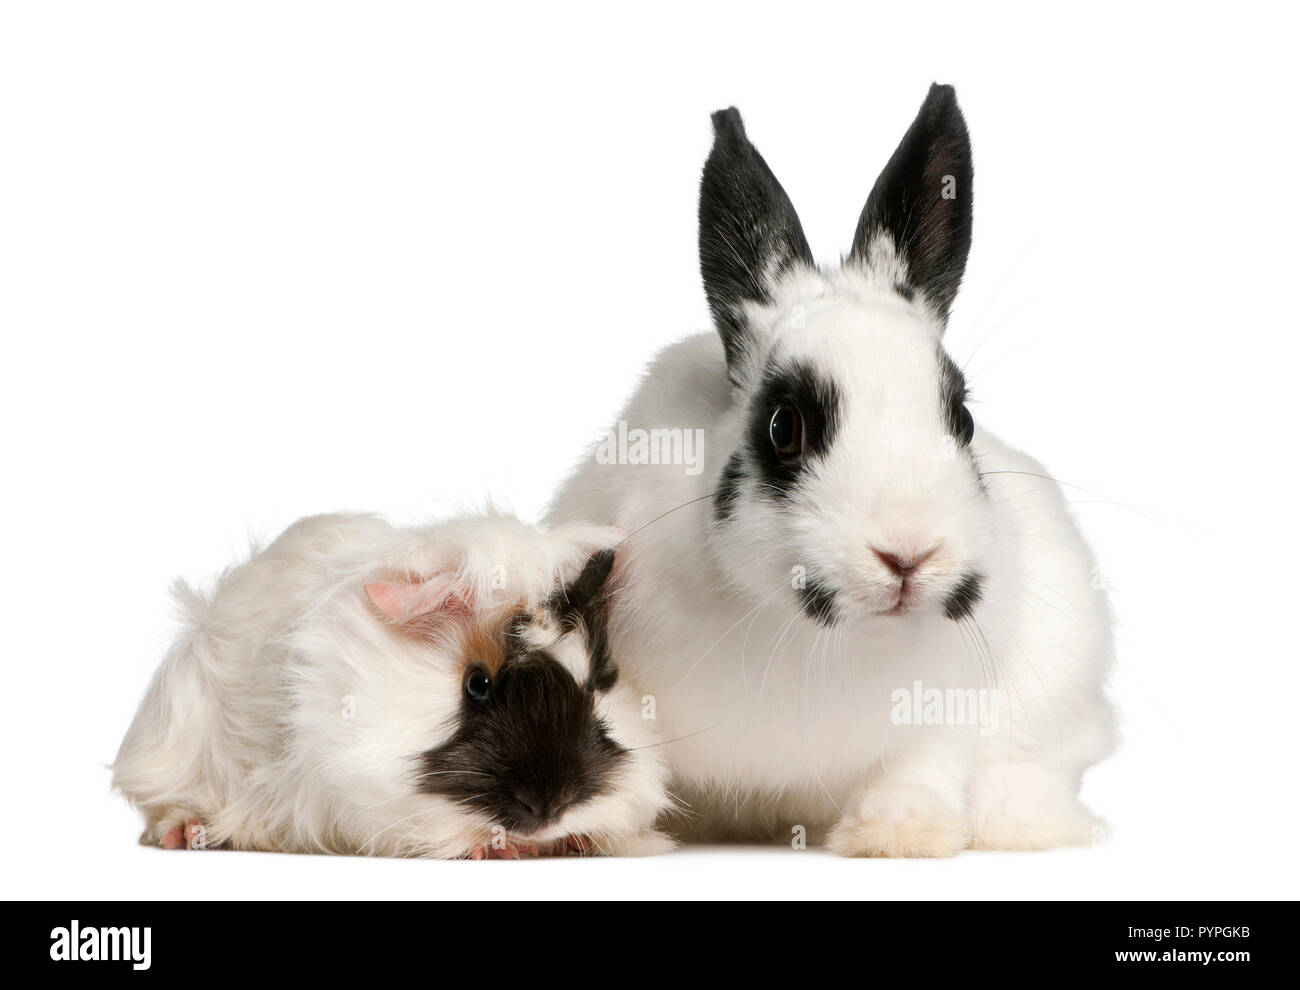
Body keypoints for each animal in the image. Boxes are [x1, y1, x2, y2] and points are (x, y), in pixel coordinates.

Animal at [110, 509, 670, 857]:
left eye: (595, 682)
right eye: (478, 684)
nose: (550, 808)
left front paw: (574, 841)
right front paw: (493, 848)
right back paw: (188, 834)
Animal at [548, 85, 1118, 852]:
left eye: (961, 420)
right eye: (784, 427)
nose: (907, 554)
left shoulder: (954, 702)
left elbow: (925, 760)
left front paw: (900, 836)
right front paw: (612, 832)